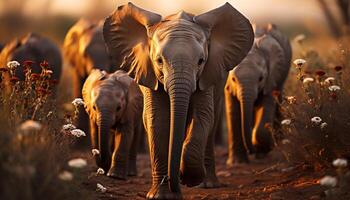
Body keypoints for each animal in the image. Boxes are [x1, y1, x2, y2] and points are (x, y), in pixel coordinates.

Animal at [102, 2, 253, 198]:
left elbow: (203, 116)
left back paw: (206, 184)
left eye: (201, 61)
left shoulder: (206, 74)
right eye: (159, 60)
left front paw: (188, 177)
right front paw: (161, 195)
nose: (173, 179)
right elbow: (157, 120)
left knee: (210, 123)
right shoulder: (149, 73)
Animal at [224, 23, 292, 165]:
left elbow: (266, 104)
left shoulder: (271, 77)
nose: (251, 151)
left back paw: (279, 141)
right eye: (233, 79)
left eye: (261, 78)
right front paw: (237, 163)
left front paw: (261, 150)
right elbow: (233, 112)